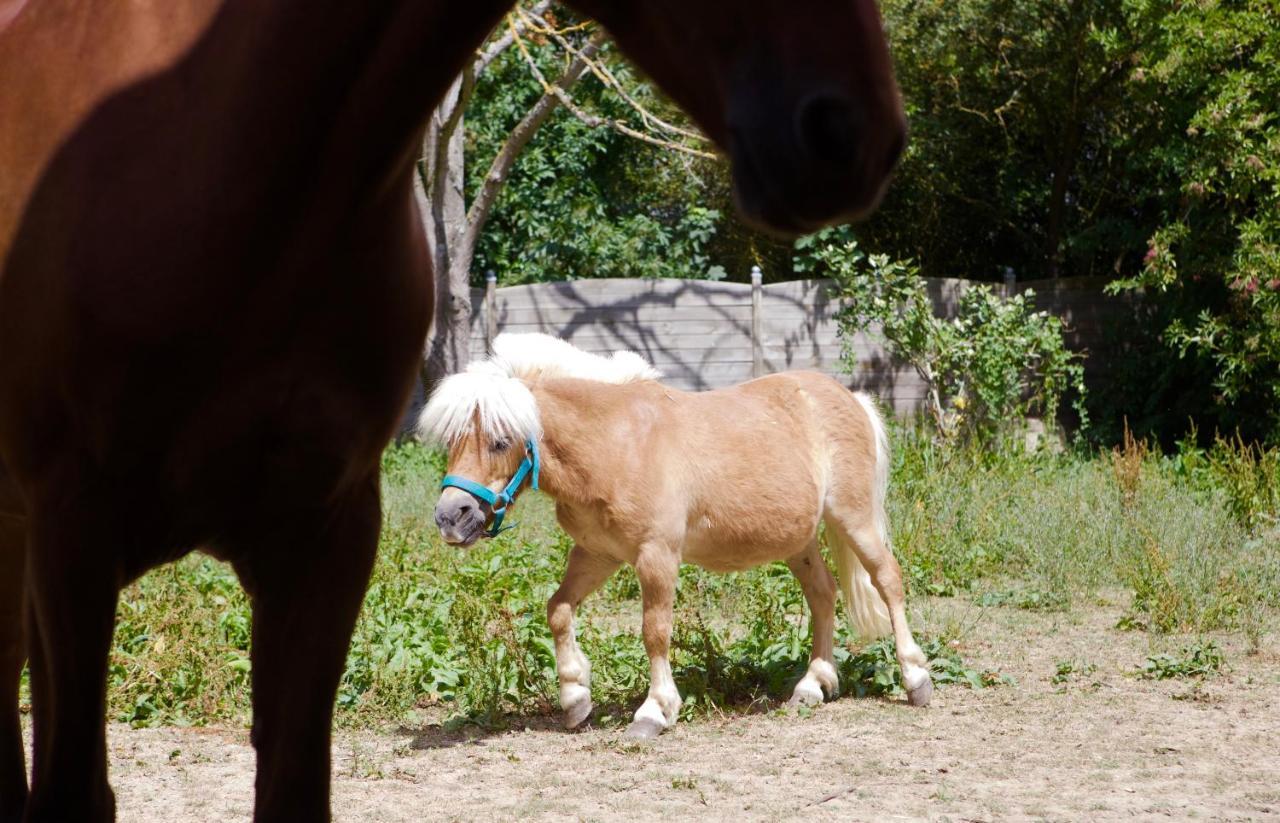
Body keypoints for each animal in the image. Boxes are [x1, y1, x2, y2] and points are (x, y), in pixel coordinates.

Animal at [419, 335, 931, 742]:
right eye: (453, 439)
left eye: (501, 441)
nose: (450, 516)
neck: (616, 444)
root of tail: (850, 397)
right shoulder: (598, 553)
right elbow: (558, 611)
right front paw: (575, 697)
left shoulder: (656, 556)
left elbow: (654, 631)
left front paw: (655, 711)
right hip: (798, 541)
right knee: (823, 595)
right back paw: (812, 685)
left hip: (853, 519)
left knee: (888, 580)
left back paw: (916, 679)